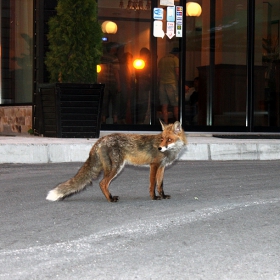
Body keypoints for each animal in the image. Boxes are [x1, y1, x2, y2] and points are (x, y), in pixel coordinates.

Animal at [46, 120, 187, 201]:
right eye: (162, 139)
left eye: (169, 139)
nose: (159, 148)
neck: (171, 151)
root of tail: (100, 140)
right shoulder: (154, 165)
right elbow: (152, 184)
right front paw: (154, 197)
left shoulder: (162, 167)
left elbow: (160, 185)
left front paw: (163, 196)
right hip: (116, 167)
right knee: (102, 183)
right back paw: (110, 199)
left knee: (103, 183)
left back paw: (111, 197)